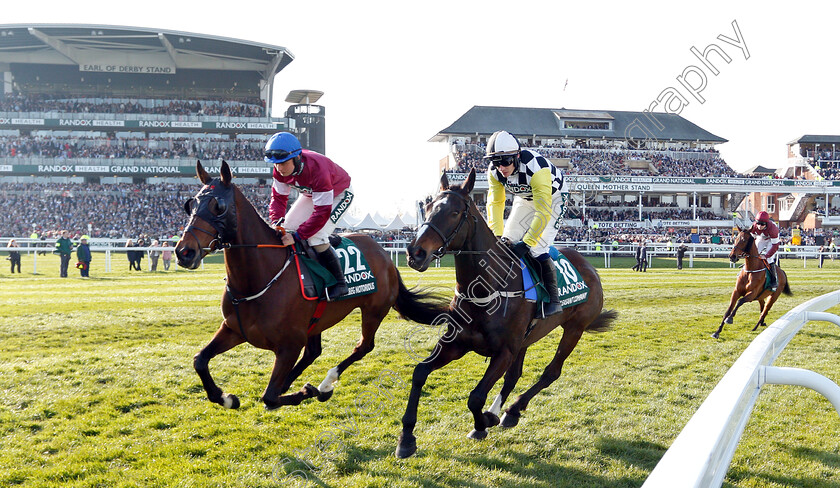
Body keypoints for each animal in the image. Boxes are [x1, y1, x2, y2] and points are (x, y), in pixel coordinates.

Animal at [175, 162, 450, 410]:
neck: (258, 279)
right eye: (191, 204)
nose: (184, 252)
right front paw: (226, 398)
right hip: (318, 319)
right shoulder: (233, 329)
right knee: (314, 352)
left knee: (363, 346)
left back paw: (325, 384)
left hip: (374, 310)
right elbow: (199, 360)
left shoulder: (289, 345)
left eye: (218, 206)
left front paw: (308, 391)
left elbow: (269, 397)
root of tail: (385, 255)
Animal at [394, 170, 616, 460]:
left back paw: (512, 410)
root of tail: (589, 266)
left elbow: (475, 397)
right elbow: (420, 372)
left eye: (454, 212)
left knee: (551, 372)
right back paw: (503, 412)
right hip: (527, 338)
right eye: (428, 208)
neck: (487, 288)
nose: (415, 253)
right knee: (514, 376)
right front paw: (406, 438)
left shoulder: (504, 351)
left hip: (574, 328)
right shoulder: (457, 343)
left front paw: (483, 423)